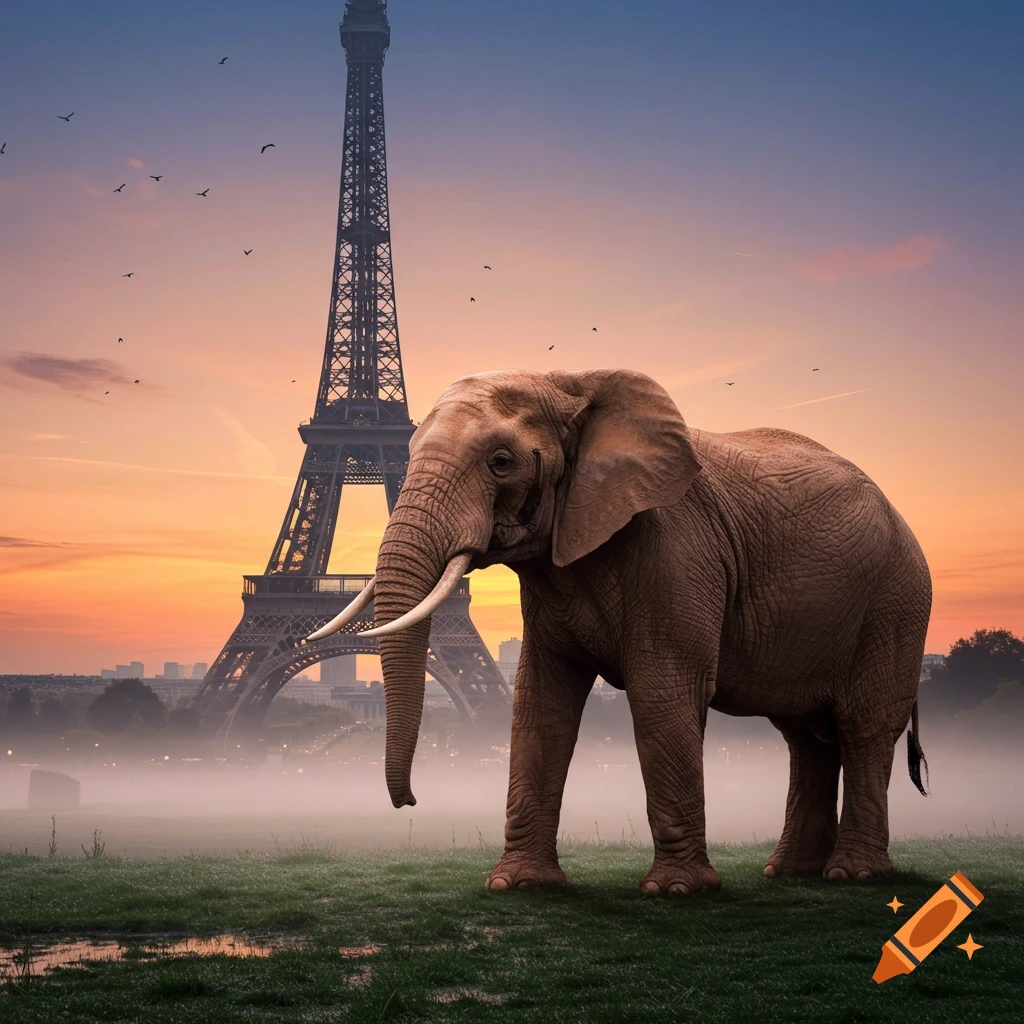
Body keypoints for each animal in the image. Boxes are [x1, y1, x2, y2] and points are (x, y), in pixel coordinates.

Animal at [309, 368, 931, 895]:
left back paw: (853, 875)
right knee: (805, 737)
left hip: (896, 601)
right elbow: (539, 704)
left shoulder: (677, 546)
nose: (411, 801)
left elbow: (663, 692)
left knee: (862, 728)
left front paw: (676, 892)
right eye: (408, 452)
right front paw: (518, 886)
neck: (568, 384)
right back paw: (789, 872)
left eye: (501, 462)